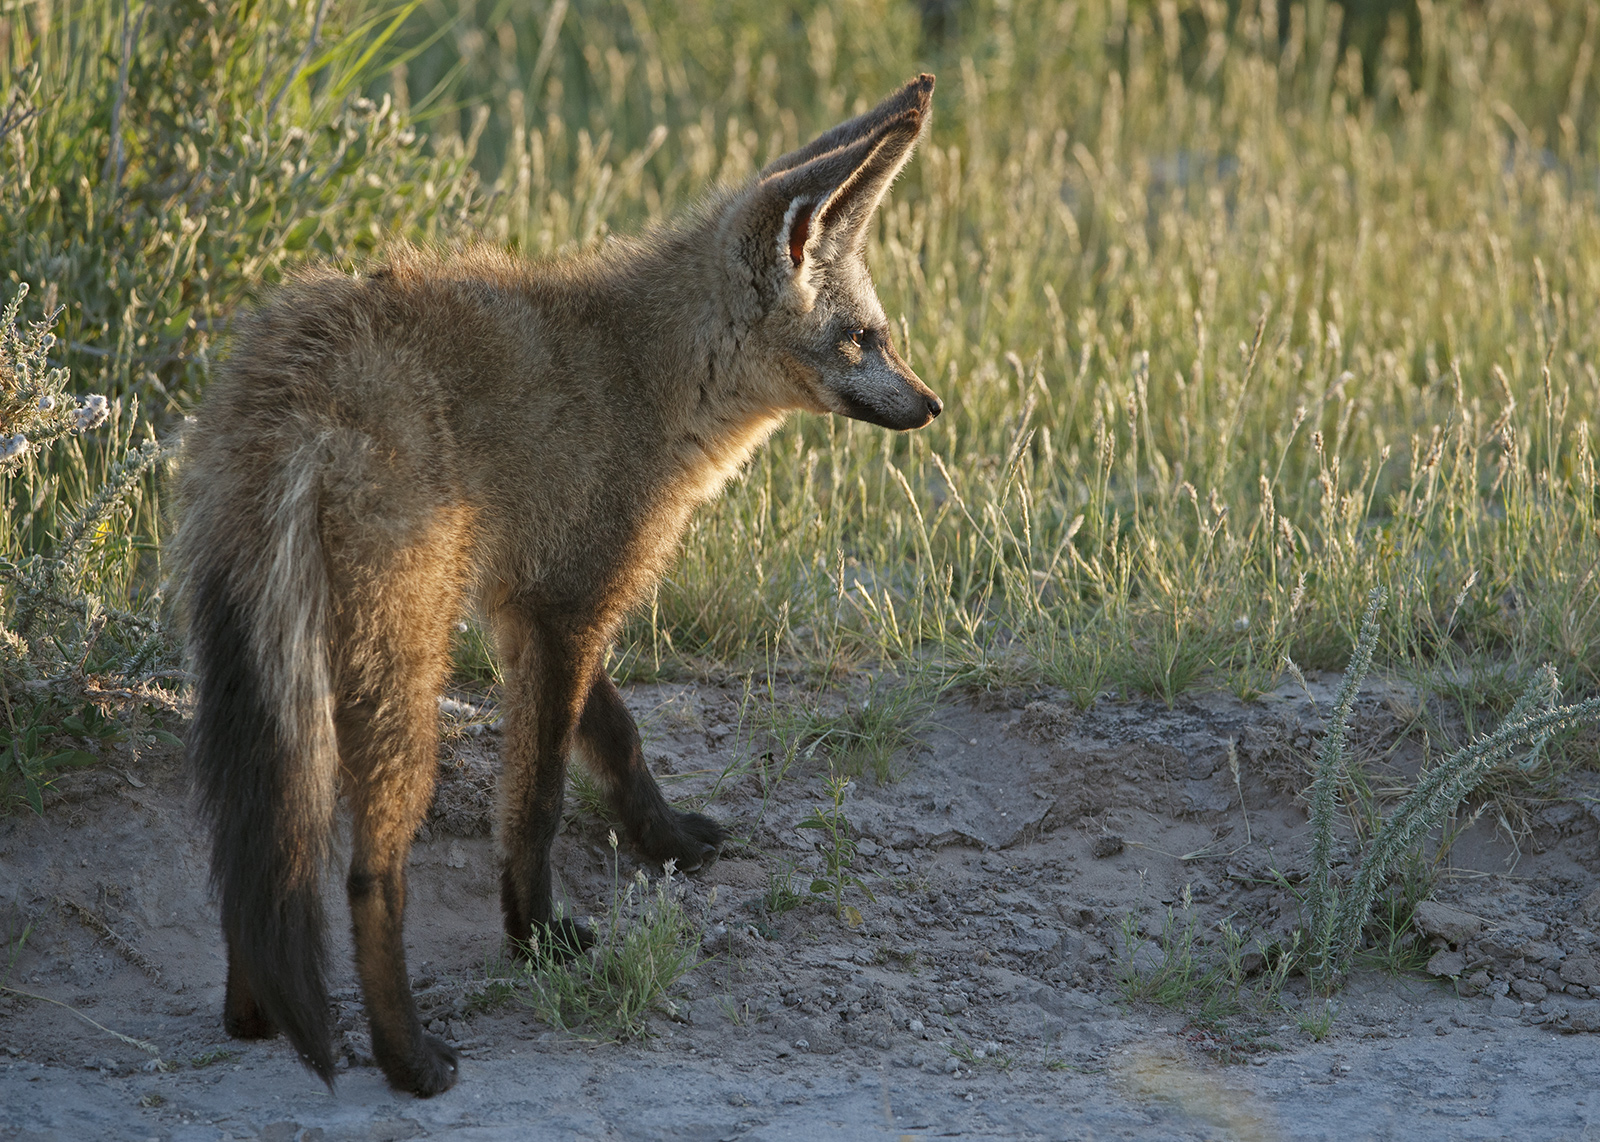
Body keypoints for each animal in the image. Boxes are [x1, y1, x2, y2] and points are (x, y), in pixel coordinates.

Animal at [173, 74, 941, 1097]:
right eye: (864, 339)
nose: (934, 405)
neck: (648, 377)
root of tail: (295, 382)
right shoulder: (570, 606)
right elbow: (536, 803)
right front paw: (533, 936)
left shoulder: (529, 602)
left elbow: (618, 739)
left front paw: (665, 842)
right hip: (402, 678)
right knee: (368, 877)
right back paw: (407, 1060)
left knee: (257, 851)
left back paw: (252, 1012)